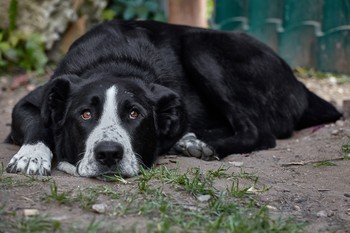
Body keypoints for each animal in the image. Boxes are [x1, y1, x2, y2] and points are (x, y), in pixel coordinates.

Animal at [5, 20, 340, 179]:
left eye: (135, 114)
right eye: (85, 115)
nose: (109, 154)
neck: (114, 63)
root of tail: (301, 86)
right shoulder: (30, 101)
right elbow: (36, 120)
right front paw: (32, 155)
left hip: (200, 46)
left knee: (259, 132)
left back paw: (202, 144)